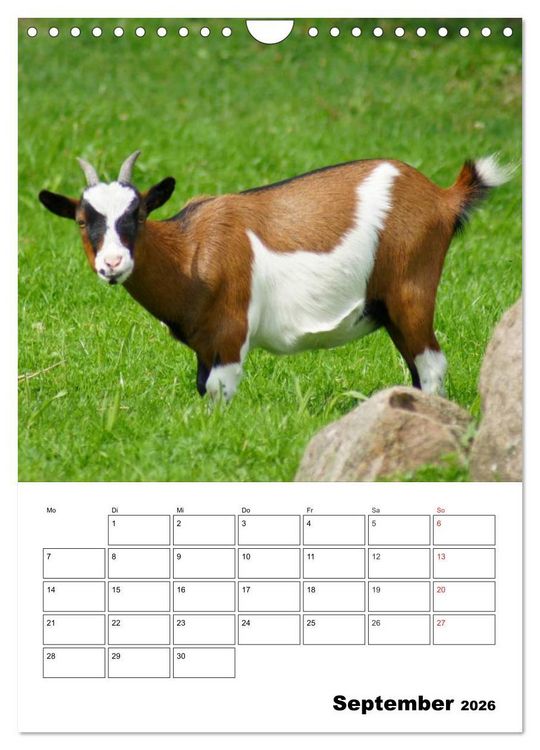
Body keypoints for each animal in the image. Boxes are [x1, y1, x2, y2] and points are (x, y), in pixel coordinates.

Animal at [39, 151, 512, 401]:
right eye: (82, 221)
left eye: (137, 215)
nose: (113, 264)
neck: (191, 250)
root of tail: (442, 198)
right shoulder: (204, 340)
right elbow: (202, 385)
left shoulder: (230, 332)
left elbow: (220, 390)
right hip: (390, 309)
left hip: (411, 291)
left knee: (431, 364)